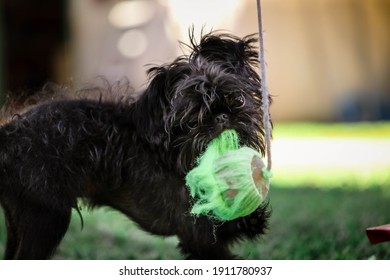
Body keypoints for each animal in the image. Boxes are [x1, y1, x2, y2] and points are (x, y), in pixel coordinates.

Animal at [0, 31, 268, 260]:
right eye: (193, 119)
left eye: (237, 99)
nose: (222, 116)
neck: (173, 155)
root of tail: (7, 136)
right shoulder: (200, 239)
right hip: (47, 218)